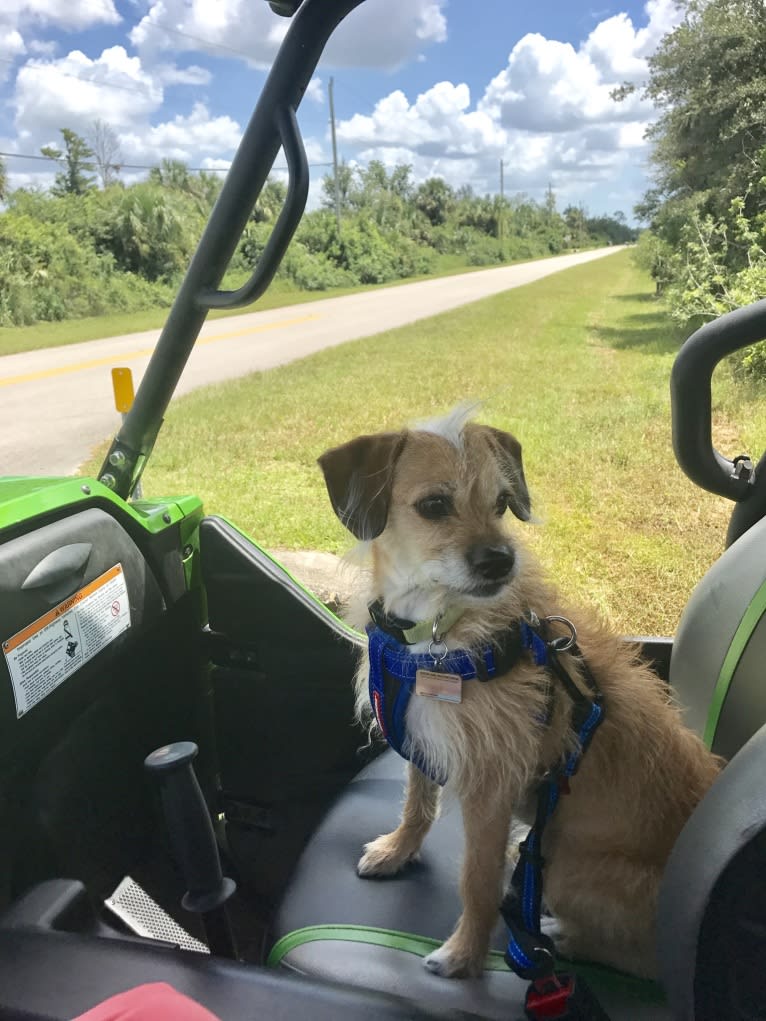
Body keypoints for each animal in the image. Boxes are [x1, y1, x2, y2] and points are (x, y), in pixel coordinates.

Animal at [316, 408, 719, 980]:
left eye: (502, 504)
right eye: (434, 505)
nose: (501, 561)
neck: (435, 633)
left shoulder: (490, 787)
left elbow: (477, 881)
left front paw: (464, 955)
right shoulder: (424, 735)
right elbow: (417, 803)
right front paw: (398, 850)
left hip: (567, 867)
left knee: (650, 961)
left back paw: (563, 936)